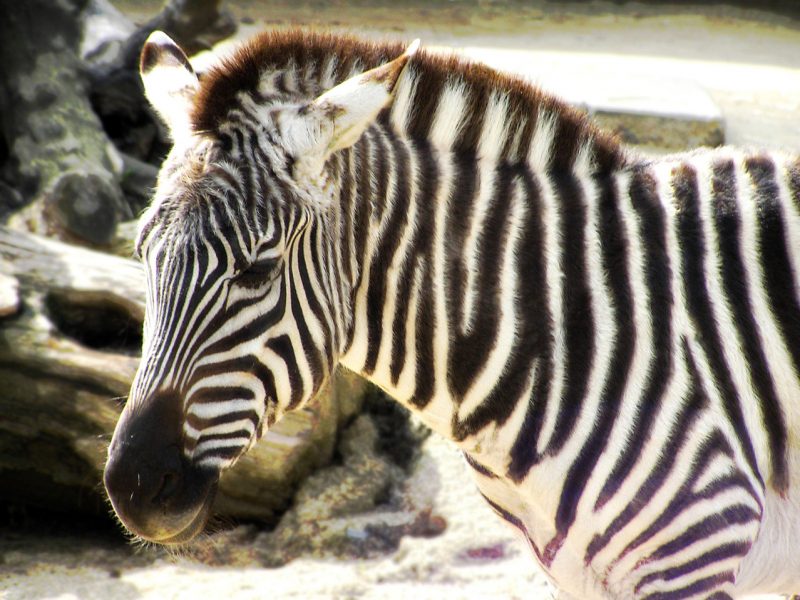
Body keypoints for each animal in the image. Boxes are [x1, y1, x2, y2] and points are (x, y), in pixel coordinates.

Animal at [103, 29, 800, 600]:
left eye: (256, 271)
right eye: (141, 255)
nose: (135, 488)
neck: (563, 328)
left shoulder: (696, 548)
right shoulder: (575, 575)